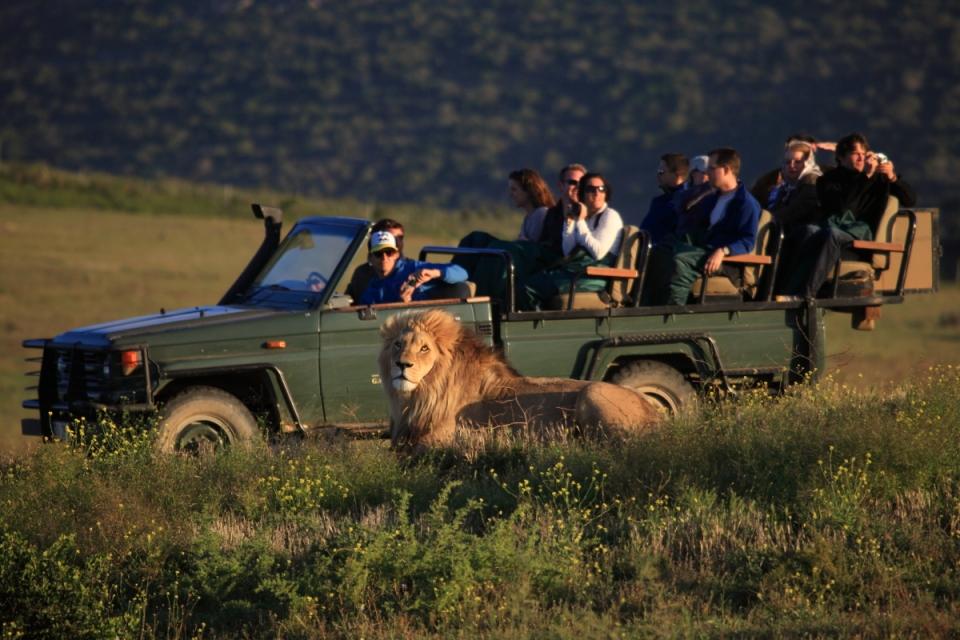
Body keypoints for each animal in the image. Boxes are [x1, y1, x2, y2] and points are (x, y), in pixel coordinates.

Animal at [376, 306, 660, 448]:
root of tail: (655, 411)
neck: (420, 395)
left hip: (595, 393)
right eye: (398, 345)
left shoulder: (439, 441)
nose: (402, 365)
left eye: (424, 348)